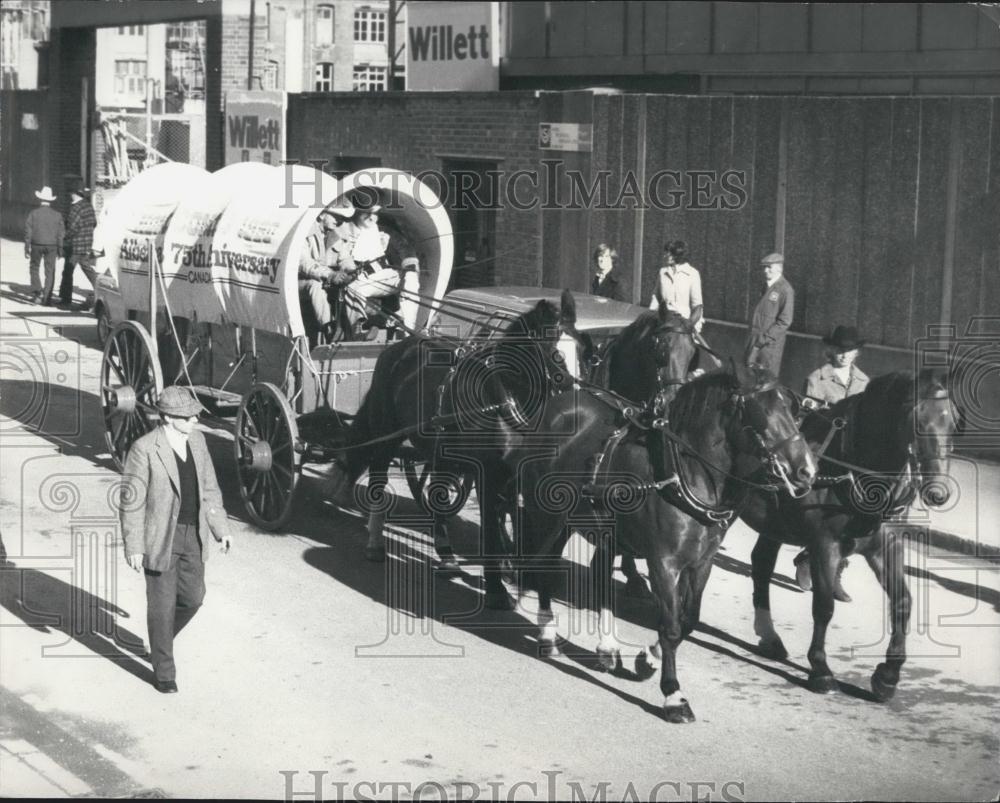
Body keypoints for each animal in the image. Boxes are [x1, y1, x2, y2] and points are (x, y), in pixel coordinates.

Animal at [512, 364, 816, 724]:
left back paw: (606, 647)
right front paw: (673, 695)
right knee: (544, 567)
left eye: (794, 412)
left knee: (598, 575)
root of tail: (556, 407)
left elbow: (688, 621)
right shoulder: (664, 562)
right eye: (761, 413)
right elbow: (670, 626)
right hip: (547, 516)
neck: (682, 475)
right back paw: (546, 633)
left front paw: (649, 658)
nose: (807, 470)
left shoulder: (701, 562)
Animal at [744, 368, 952, 700]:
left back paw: (769, 637)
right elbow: (824, 606)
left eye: (953, 421)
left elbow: (903, 602)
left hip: (773, 525)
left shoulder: (885, 546)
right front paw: (820, 669)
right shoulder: (825, 544)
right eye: (917, 421)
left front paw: (889, 674)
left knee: (762, 563)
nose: (938, 491)